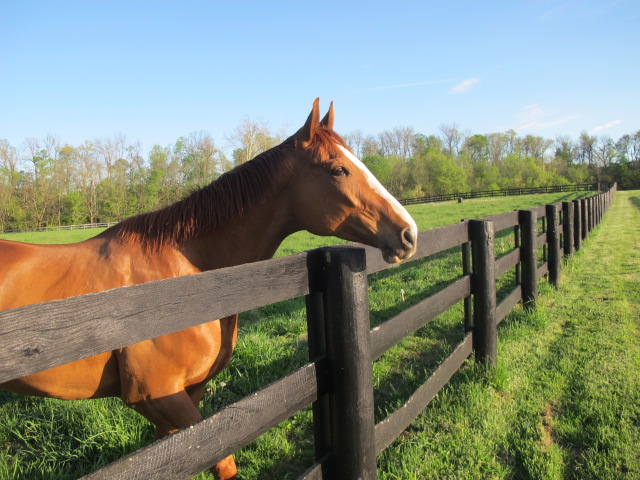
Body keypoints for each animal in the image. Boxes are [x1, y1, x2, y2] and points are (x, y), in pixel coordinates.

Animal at [0, 98, 418, 480]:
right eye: (338, 169)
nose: (408, 233)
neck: (190, 277)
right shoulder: (157, 396)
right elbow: (223, 463)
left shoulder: (185, 397)